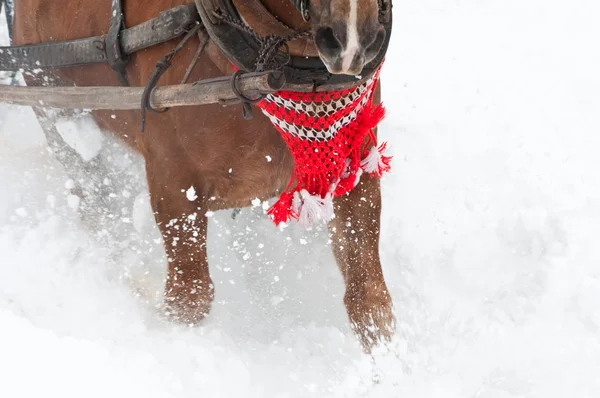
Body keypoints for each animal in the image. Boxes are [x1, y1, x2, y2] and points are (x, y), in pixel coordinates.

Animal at [11, 0, 396, 352]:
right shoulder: (174, 187)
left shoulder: (354, 174)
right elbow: (189, 297)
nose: (353, 45)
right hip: (54, 106)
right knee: (90, 192)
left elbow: (370, 302)